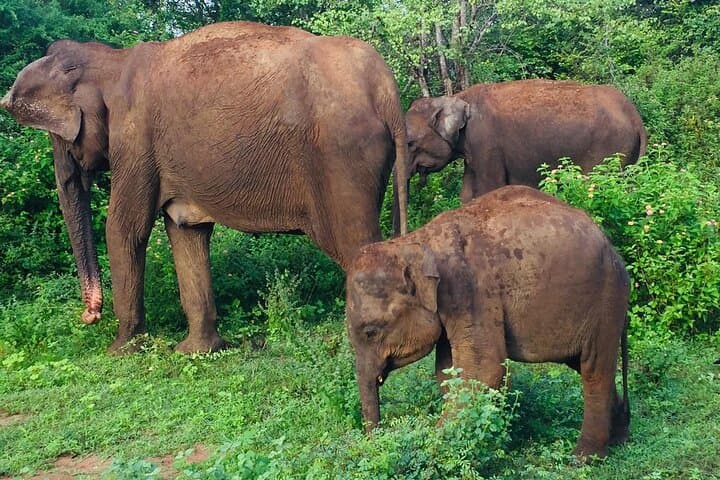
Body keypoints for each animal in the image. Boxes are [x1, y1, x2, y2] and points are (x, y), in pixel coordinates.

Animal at [1, 21, 408, 354]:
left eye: (60, 138)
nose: (88, 315)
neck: (111, 59)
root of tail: (385, 87)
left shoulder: (134, 139)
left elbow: (123, 228)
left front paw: (120, 351)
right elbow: (186, 232)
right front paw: (196, 352)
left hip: (342, 158)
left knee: (355, 245)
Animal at [347, 185, 630, 458]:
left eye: (370, 332)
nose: (374, 442)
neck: (418, 241)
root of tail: (614, 251)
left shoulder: (470, 290)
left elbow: (482, 371)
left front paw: (429, 447)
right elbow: (447, 371)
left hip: (605, 300)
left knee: (593, 369)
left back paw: (584, 457)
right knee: (582, 363)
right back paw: (617, 437)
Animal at [403, 79, 647, 204]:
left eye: (410, 143)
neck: (456, 97)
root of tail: (636, 117)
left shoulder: (486, 141)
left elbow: (490, 188)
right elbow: (467, 193)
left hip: (610, 149)